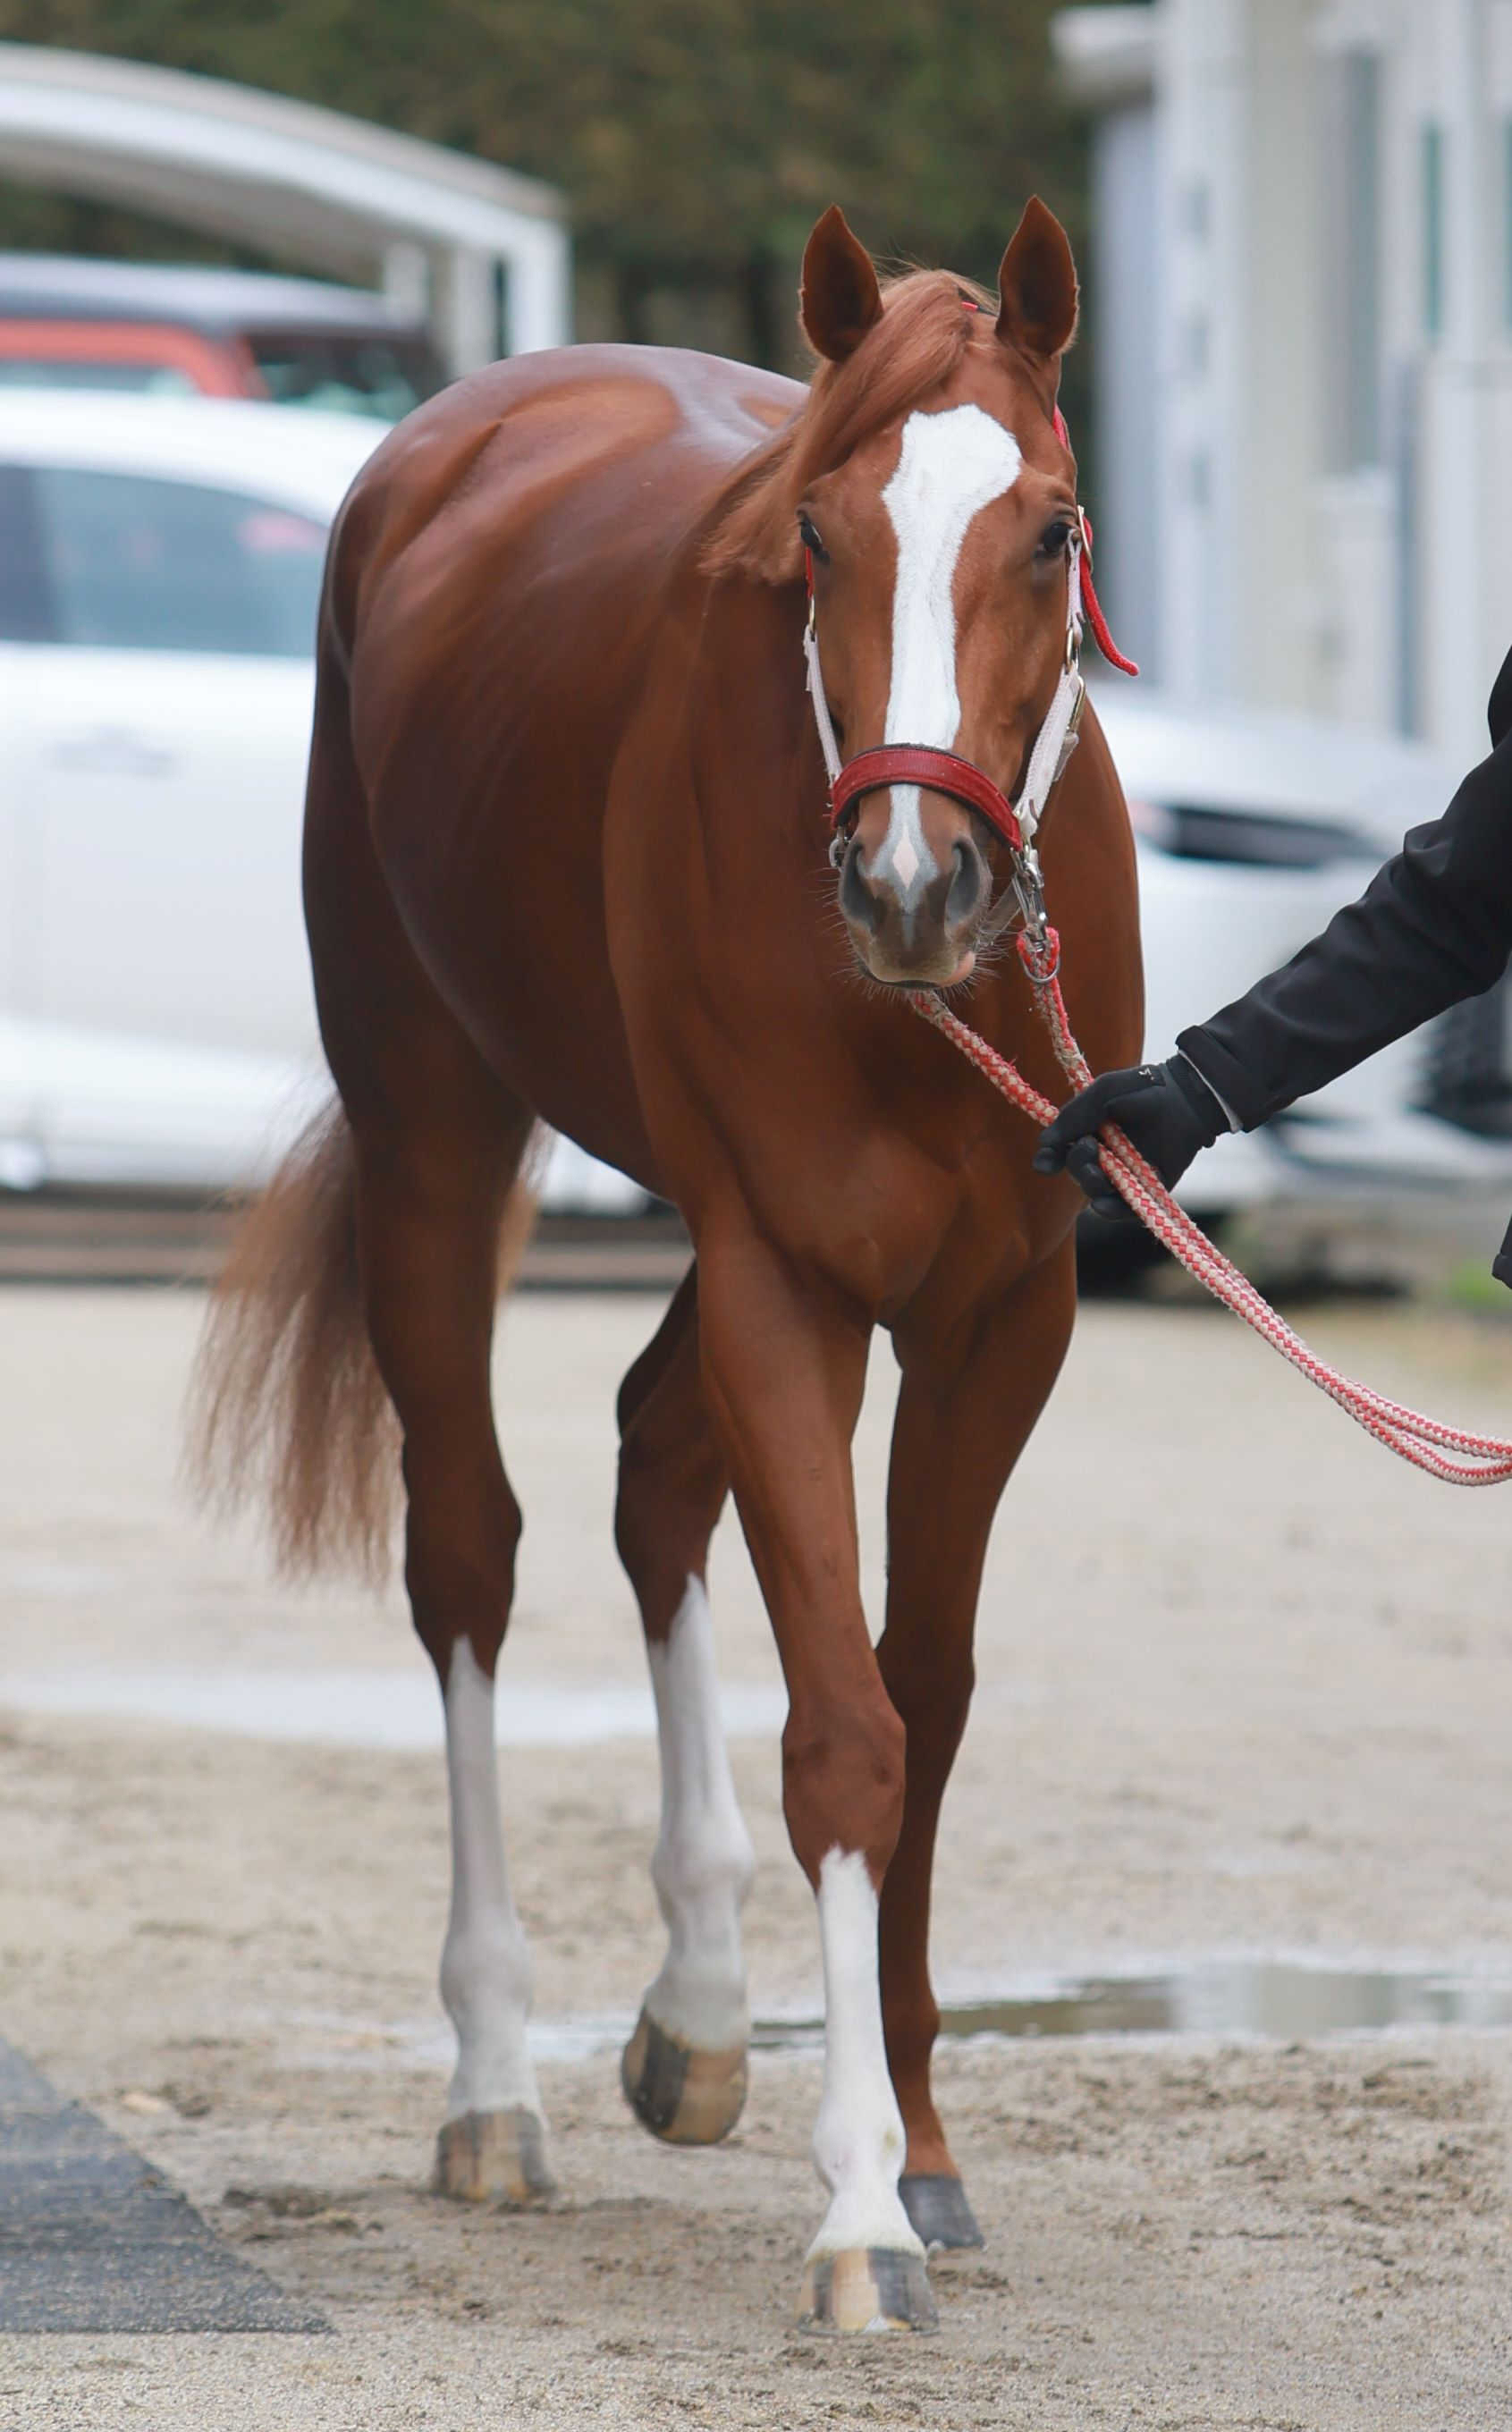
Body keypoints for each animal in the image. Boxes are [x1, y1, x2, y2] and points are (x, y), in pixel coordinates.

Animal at [195, 199, 1147, 2325]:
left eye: (1049, 528)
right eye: (818, 535)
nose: (911, 885)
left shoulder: (1002, 1315)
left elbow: (923, 1695)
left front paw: (924, 2149)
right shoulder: (785, 1278)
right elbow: (845, 1735)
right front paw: (862, 2206)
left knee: (651, 1463)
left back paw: (700, 2013)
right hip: (438, 1138)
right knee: (468, 1551)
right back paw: (493, 2085)